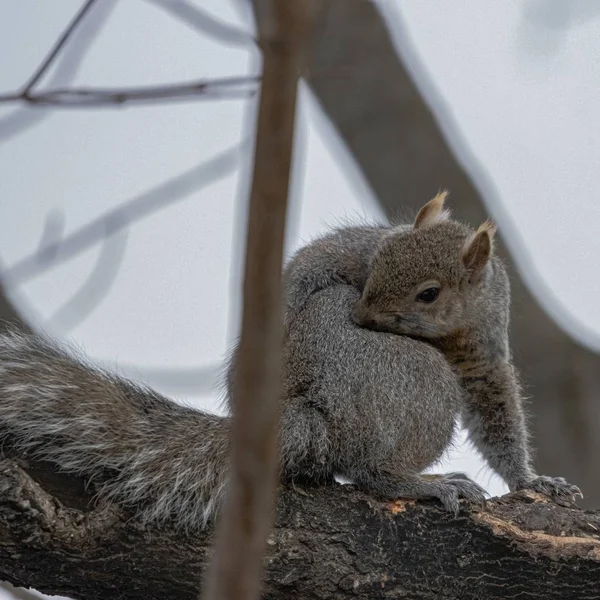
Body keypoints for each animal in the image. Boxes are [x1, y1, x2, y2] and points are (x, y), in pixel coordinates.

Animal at [0, 192, 580, 528]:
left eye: (429, 293)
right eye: (380, 256)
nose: (363, 314)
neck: (455, 324)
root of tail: (314, 421)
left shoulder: (483, 344)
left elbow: (493, 403)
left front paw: (532, 482)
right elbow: (307, 270)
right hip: (416, 385)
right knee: (368, 470)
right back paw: (420, 484)